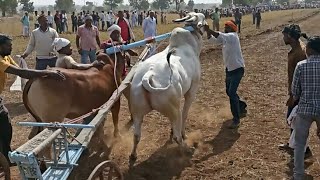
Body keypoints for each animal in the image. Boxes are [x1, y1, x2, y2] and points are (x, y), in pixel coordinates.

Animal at [129, 13, 208, 161]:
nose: (206, 26)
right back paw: (187, 149)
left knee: (136, 135)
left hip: (137, 112)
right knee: (177, 134)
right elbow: (185, 114)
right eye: (202, 18)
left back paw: (133, 155)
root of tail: (147, 76)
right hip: (173, 109)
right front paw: (184, 134)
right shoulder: (192, 90)